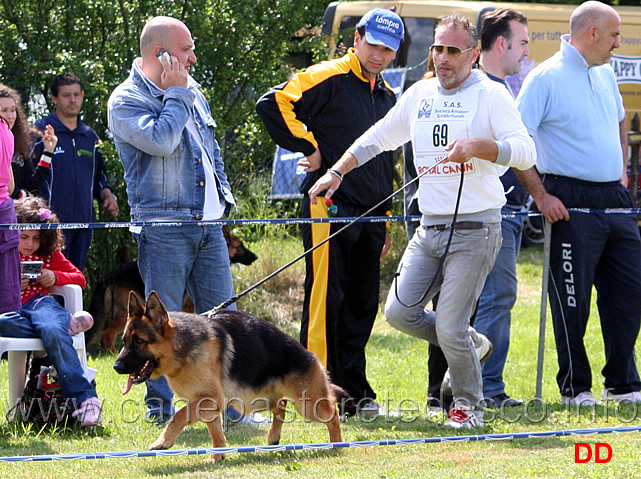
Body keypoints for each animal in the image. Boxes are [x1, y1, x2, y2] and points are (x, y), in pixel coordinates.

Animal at [115, 290, 344, 464]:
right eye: (124, 341)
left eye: (139, 341)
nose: (116, 366)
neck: (181, 348)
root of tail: (309, 354)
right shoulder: (207, 403)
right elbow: (215, 431)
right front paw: (218, 456)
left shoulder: (208, 399)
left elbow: (178, 415)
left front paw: (163, 441)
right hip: (257, 399)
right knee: (281, 407)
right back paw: (273, 437)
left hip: (308, 406)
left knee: (332, 413)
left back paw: (337, 445)